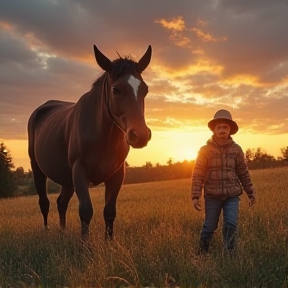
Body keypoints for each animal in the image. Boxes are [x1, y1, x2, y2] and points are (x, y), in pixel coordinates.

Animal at [27, 44, 152, 238]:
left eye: (145, 89)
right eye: (116, 90)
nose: (140, 135)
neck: (103, 136)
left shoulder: (117, 174)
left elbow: (109, 211)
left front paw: (109, 243)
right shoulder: (79, 170)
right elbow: (85, 211)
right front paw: (86, 245)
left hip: (66, 178)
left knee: (61, 202)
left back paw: (62, 231)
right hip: (38, 169)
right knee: (44, 202)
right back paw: (47, 232)